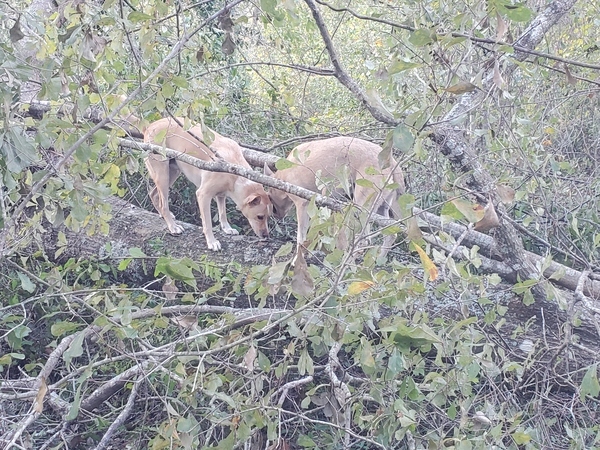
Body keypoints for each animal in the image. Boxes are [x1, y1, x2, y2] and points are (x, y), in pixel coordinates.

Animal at [144, 117, 270, 250]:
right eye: (260, 216)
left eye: (268, 216)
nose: (266, 236)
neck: (235, 171)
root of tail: (150, 126)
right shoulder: (203, 195)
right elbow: (208, 223)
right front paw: (212, 241)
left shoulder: (221, 194)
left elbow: (222, 213)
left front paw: (227, 228)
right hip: (162, 173)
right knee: (163, 204)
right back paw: (172, 226)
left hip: (173, 172)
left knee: (153, 194)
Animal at [264, 135, 406, 258]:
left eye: (270, 198)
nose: (275, 215)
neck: (283, 175)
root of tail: (393, 162)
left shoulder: (302, 203)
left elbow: (301, 237)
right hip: (382, 208)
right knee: (390, 236)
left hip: (361, 207)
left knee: (363, 241)